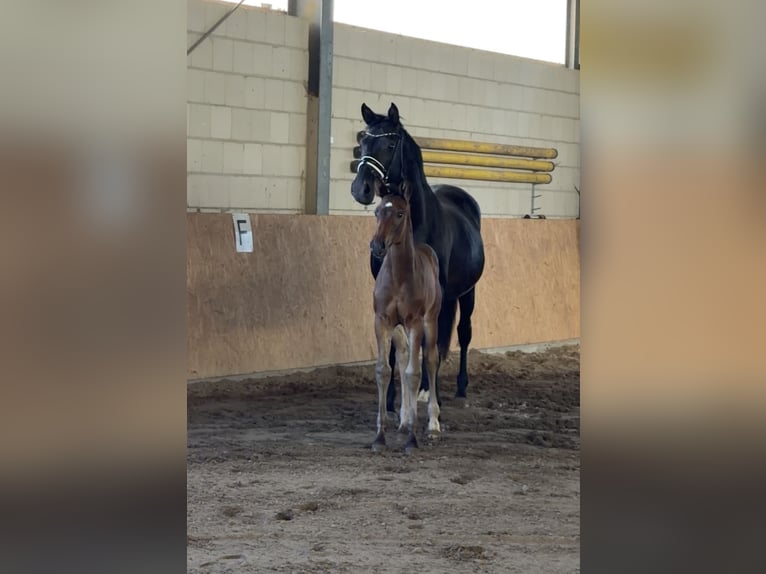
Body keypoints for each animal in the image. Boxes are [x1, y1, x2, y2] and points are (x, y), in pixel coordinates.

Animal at [351, 102, 485, 413]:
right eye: (363, 141)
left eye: (390, 144)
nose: (361, 189)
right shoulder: (387, 292)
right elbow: (393, 344)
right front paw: (390, 398)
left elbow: (427, 342)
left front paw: (425, 391)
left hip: (467, 293)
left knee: (463, 332)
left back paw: (458, 386)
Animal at [370, 189, 442, 454]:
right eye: (377, 211)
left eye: (400, 213)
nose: (377, 245)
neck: (399, 277)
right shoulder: (382, 322)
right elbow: (384, 370)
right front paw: (379, 437)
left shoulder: (415, 323)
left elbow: (414, 373)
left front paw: (412, 439)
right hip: (399, 330)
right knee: (402, 356)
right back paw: (403, 422)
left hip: (431, 321)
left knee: (430, 360)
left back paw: (432, 423)